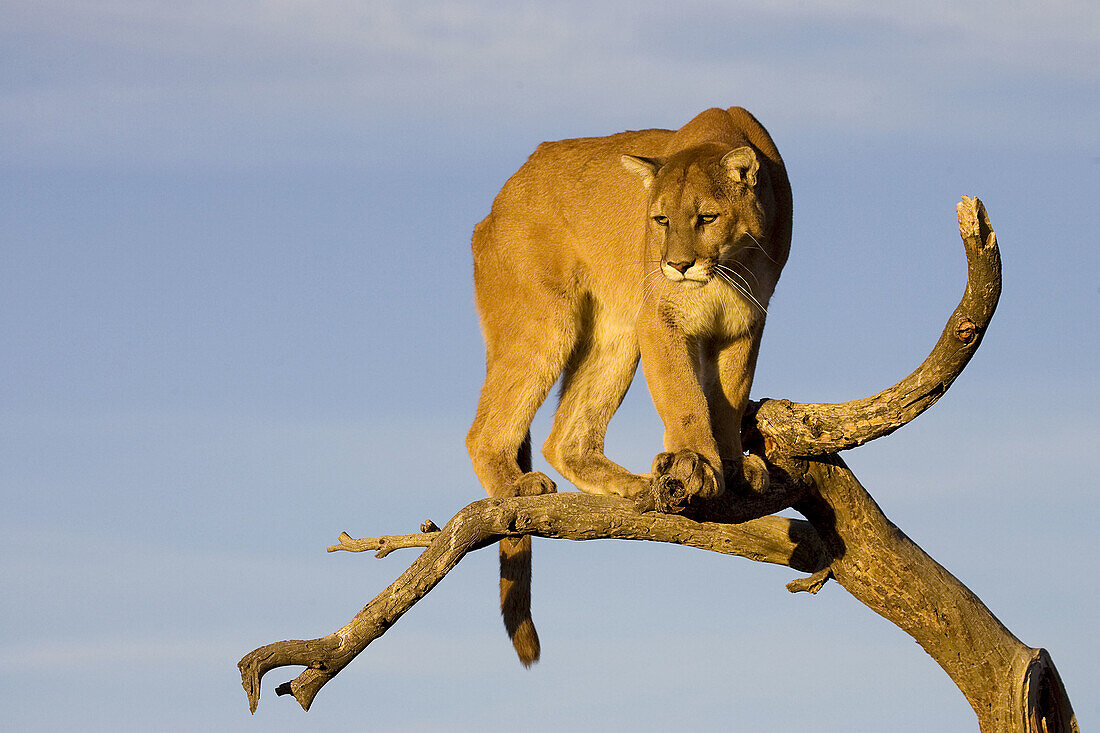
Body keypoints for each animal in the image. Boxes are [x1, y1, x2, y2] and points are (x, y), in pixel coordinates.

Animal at [464, 107, 792, 660]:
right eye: (659, 220)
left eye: (707, 218)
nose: (677, 263)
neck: (730, 266)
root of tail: (498, 202)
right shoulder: (659, 319)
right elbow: (684, 398)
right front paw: (699, 463)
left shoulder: (743, 326)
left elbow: (727, 398)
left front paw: (732, 466)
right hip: (547, 324)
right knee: (484, 430)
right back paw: (516, 486)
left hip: (613, 336)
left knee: (564, 439)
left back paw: (635, 485)